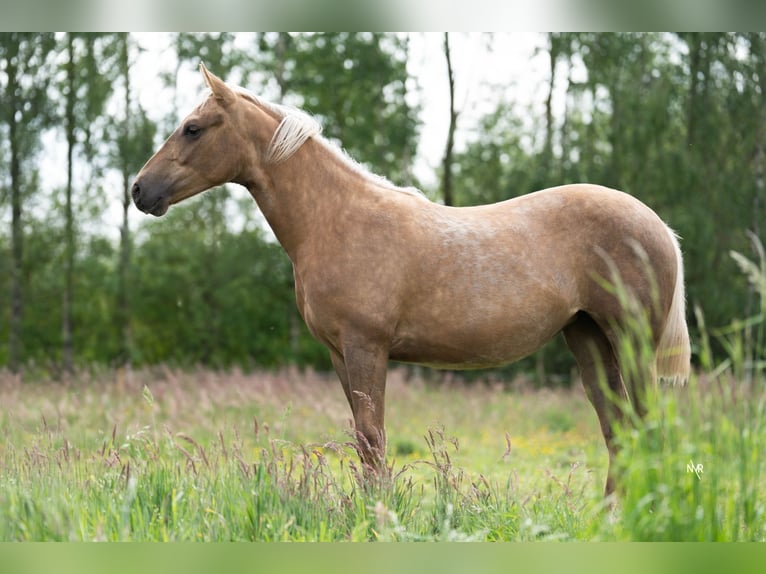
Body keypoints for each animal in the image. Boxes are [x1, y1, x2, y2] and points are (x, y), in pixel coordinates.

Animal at [132, 64, 691, 496]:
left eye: (193, 128)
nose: (139, 190)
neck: (336, 219)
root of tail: (657, 225)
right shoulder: (340, 354)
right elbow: (363, 440)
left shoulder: (366, 347)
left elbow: (374, 439)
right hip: (588, 337)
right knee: (618, 430)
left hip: (631, 341)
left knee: (643, 426)